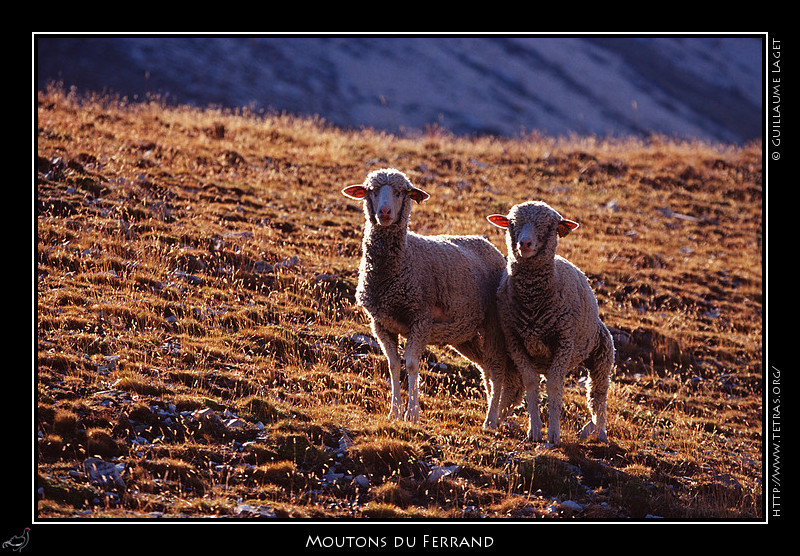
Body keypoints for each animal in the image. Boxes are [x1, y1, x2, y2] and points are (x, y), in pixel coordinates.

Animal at [342, 167, 520, 428]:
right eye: (371, 191)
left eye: (402, 192)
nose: (384, 213)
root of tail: (491, 247)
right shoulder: (381, 323)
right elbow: (393, 365)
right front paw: (394, 412)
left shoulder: (420, 319)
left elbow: (412, 364)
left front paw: (412, 413)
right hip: (464, 334)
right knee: (486, 367)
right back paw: (493, 411)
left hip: (493, 325)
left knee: (497, 369)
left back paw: (490, 420)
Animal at [484, 199, 616, 444]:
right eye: (511, 224)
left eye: (548, 227)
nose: (525, 244)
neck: (533, 303)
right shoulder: (515, 342)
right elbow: (531, 384)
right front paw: (534, 430)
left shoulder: (563, 342)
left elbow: (555, 387)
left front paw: (554, 435)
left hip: (602, 354)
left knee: (598, 394)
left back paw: (600, 432)